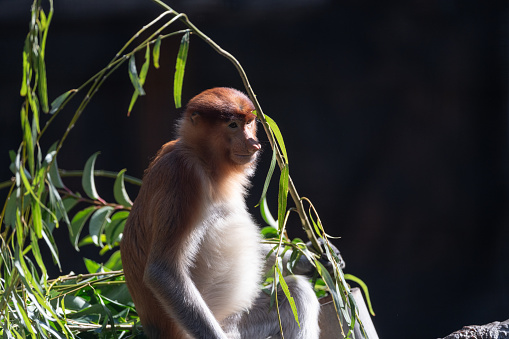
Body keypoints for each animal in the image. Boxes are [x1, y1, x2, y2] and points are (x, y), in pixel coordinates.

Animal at [120, 88, 318, 339]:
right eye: (233, 125)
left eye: (249, 123)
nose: (254, 144)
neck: (203, 157)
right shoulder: (183, 178)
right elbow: (163, 272)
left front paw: (311, 260)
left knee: (296, 290)